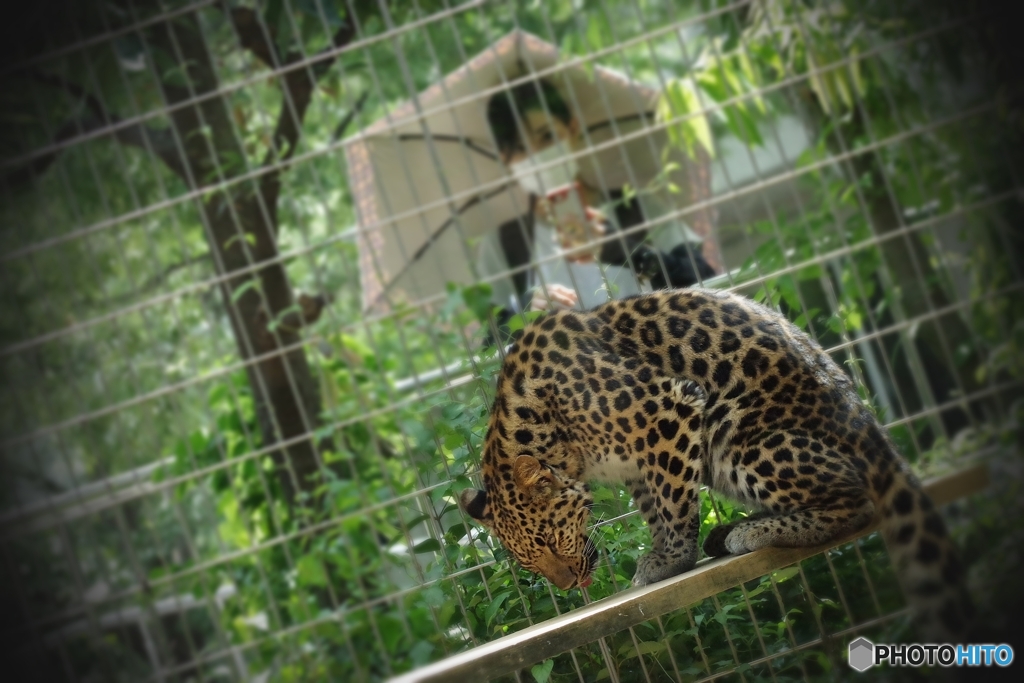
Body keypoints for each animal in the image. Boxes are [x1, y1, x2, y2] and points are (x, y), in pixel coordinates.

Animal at [462, 286, 974, 643]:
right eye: (529, 561)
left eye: (551, 539)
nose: (569, 585)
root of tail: (870, 429)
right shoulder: (639, 460)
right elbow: (656, 505)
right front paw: (667, 553)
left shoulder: (667, 411)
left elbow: (672, 501)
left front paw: (670, 559)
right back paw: (734, 529)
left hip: (739, 437)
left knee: (857, 500)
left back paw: (754, 531)